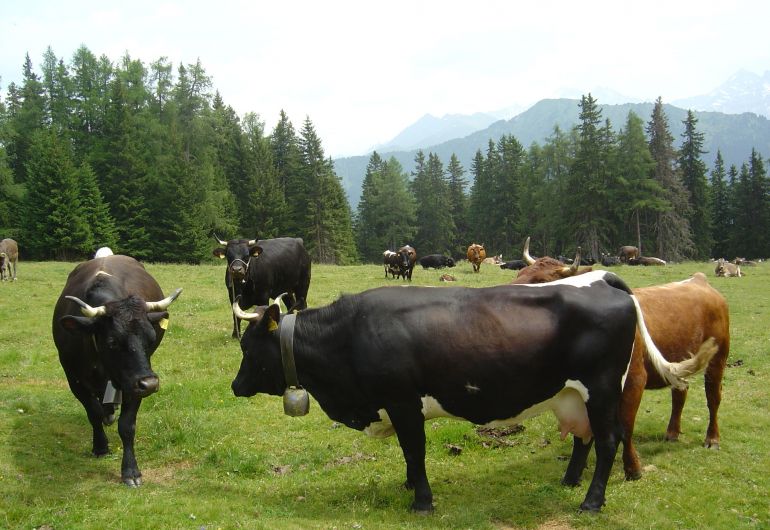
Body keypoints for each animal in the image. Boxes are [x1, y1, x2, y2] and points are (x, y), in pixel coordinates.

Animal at [52, 254, 182, 484]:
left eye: (151, 338)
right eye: (112, 341)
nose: (151, 384)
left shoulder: (134, 383)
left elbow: (127, 426)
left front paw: (130, 470)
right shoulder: (74, 379)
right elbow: (93, 413)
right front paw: (100, 447)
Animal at [231, 270, 668, 510]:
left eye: (248, 348)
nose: (235, 386)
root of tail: (601, 280)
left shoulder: (403, 402)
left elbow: (414, 449)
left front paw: (421, 500)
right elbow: (408, 452)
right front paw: (409, 484)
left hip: (603, 388)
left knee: (608, 439)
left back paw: (591, 502)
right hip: (574, 395)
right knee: (584, 437)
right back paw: (569, 481)